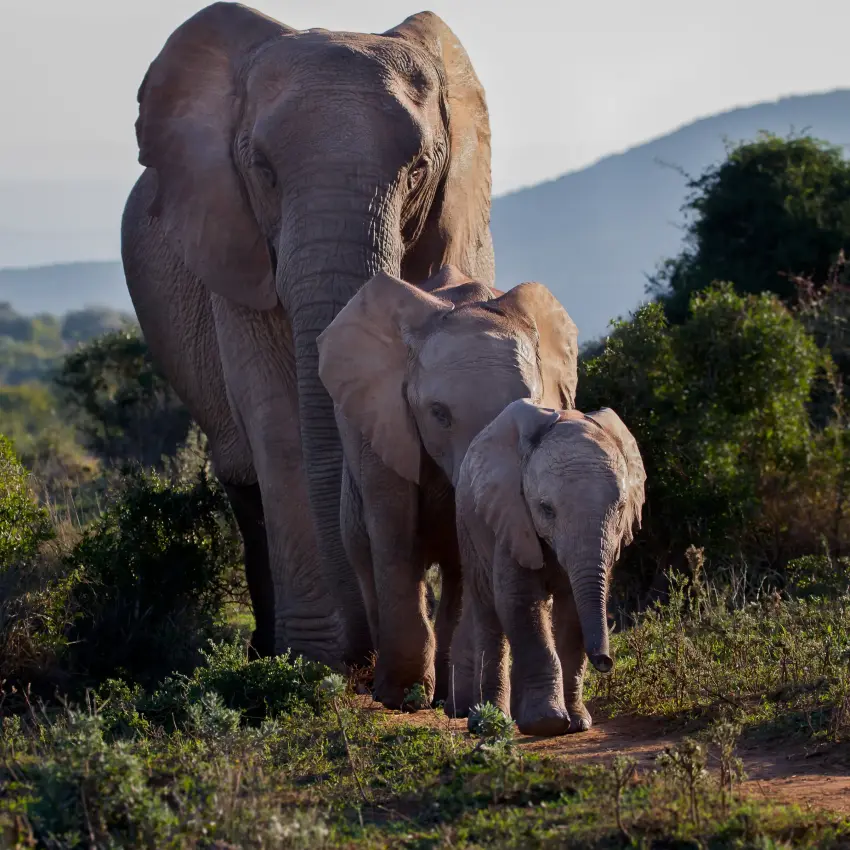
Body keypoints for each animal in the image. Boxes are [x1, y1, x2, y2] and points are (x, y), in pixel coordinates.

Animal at [120, 3, 494, 666]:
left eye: (420, 169)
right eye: (263, 170)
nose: (365, 655)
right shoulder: (233, 247)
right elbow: (277, 420)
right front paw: (313, 661)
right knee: (246, 485)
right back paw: (266, 654)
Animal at [316, 265, 578, 708]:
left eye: (526, 406)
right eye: (438, 414)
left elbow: (464, 557)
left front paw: (461, 701)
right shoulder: (385, 418)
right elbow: (394, 531)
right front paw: (400, 696)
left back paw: (445, 697)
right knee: (364, 552)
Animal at [451, 399, 645, 737]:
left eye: (621, 508)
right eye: (546, 509)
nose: (606, 661)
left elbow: (572, 613)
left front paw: (577, 724)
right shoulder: (512, 516)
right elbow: (519, 601)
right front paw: (546, 723)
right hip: (468, 528)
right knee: (488, 613)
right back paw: (489, 723)